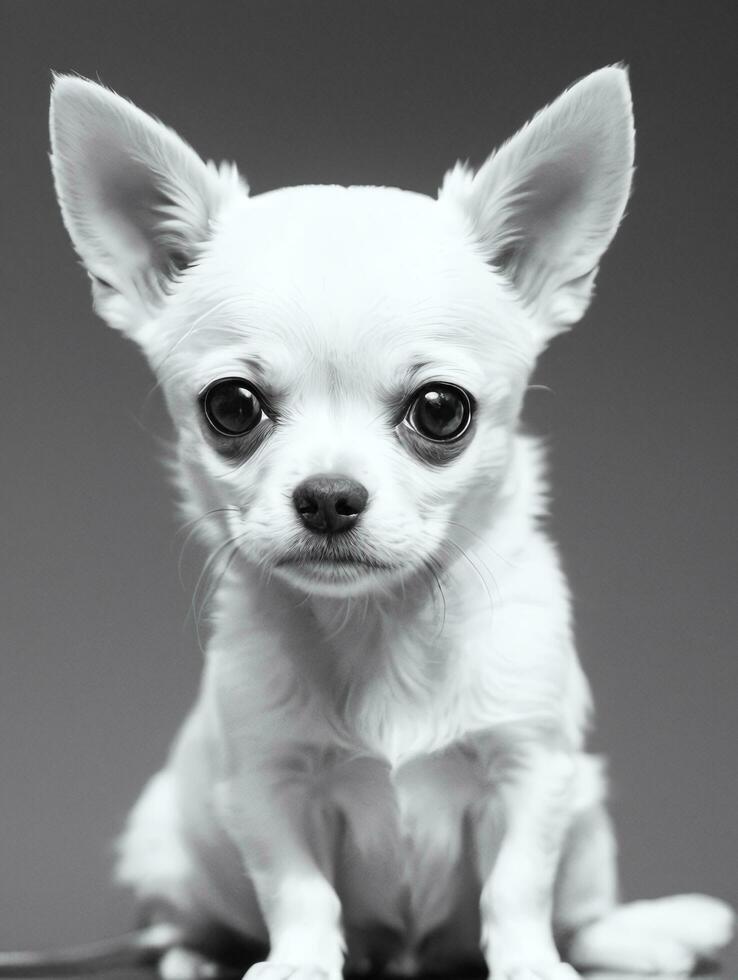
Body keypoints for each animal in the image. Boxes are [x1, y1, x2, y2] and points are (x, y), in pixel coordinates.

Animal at [37, 69, 728, 980]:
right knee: (182, 914)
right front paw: (298, 962)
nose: (329, 495)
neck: (380, 627)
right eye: (231, 406)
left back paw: (644, 934)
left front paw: (532, 964)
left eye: (440, 410)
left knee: (580, 913)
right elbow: (299, 892)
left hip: (589, 811)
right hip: (163, 837)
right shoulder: (266, 784)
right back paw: (196, 953)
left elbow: (518, 890)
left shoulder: (533, 769)